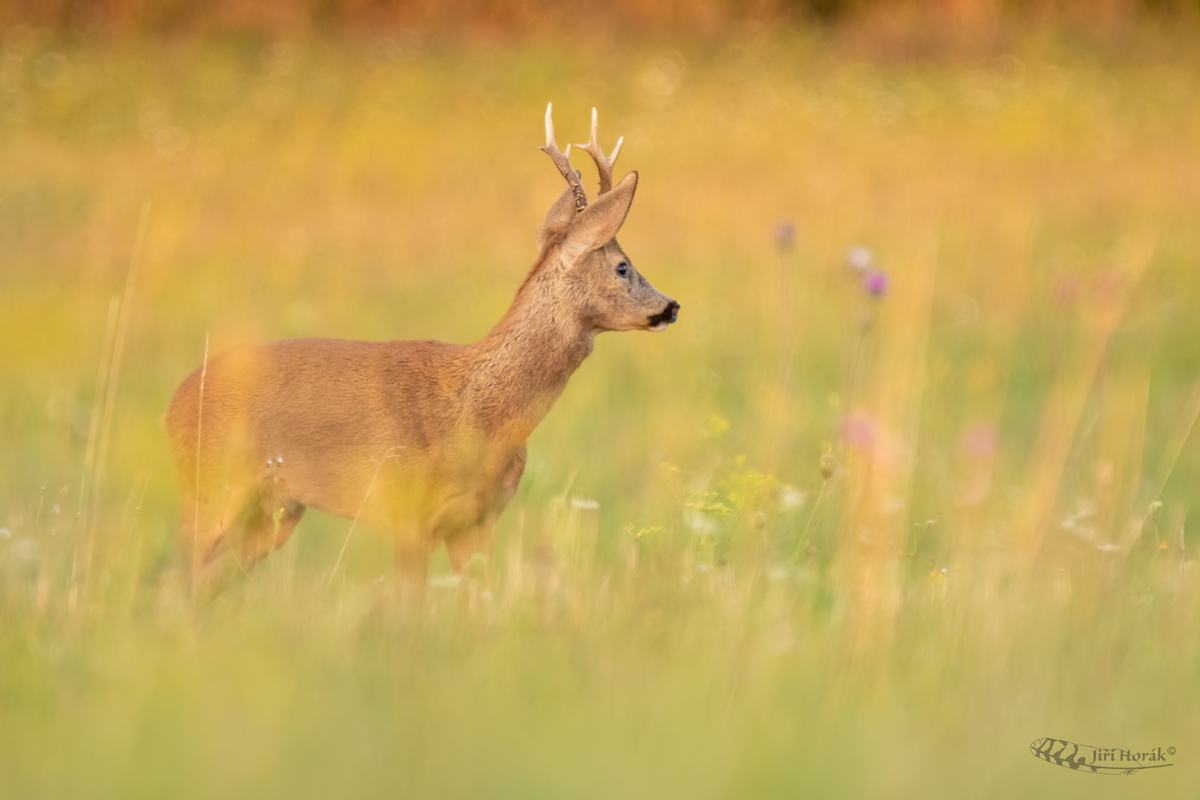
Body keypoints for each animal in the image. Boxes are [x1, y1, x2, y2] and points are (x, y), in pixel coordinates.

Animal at [164, 104, 681, 594]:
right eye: (622, 266)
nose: (671, 305)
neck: (477, 418)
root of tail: (173, 404)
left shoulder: (477, 522)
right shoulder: (406, 512)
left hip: (274, 510)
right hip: (210, 487)